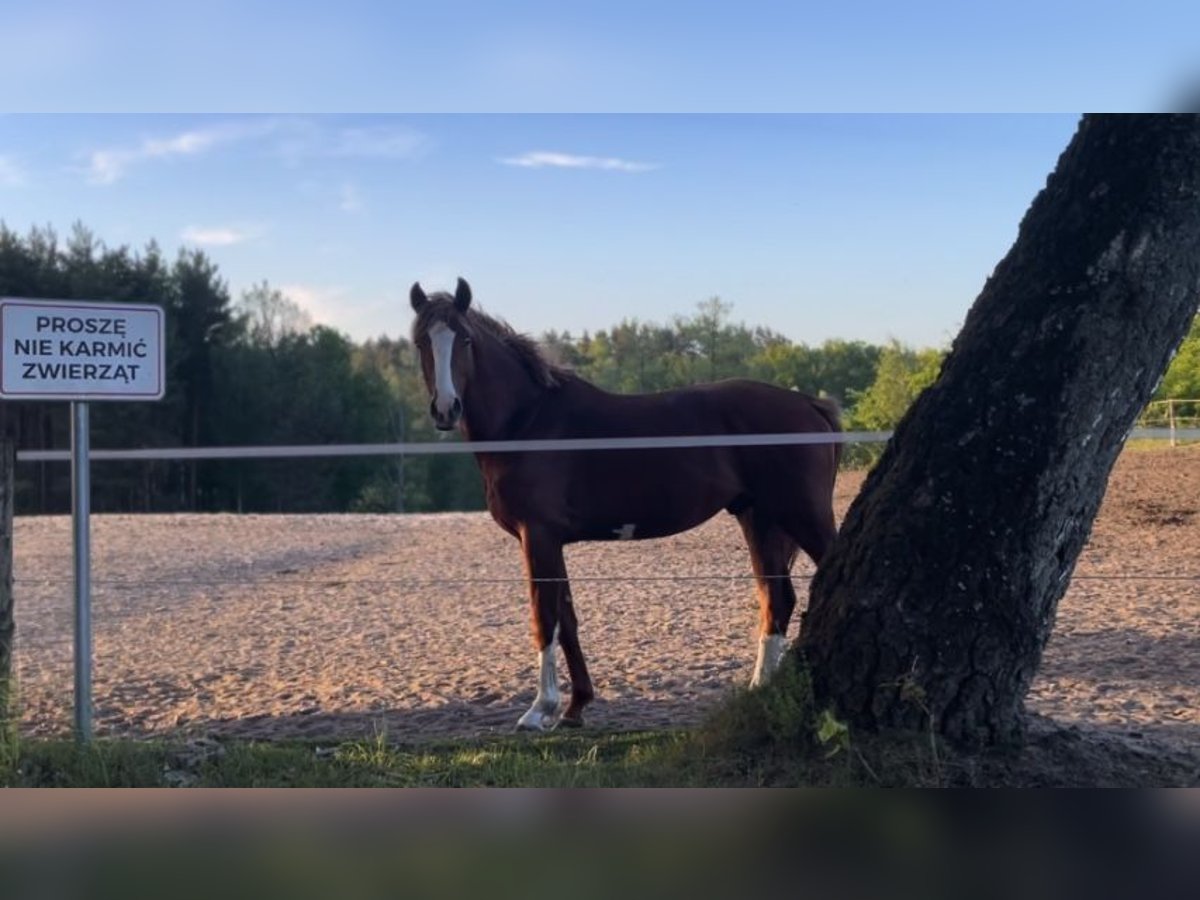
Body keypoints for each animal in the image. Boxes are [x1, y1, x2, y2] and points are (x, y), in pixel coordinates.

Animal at [408, 277, 840, 734]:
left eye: (465, 339)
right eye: (421, 342)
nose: (446, 409)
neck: (527, 422)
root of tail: (810, 404)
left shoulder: (537, 535)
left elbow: (545, 617)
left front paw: (539, 709)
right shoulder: (552, 541)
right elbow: (567, 619)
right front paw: (576, 706)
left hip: (802, 515)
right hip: (761, 519)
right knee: (776, 599)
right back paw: (760, 691)